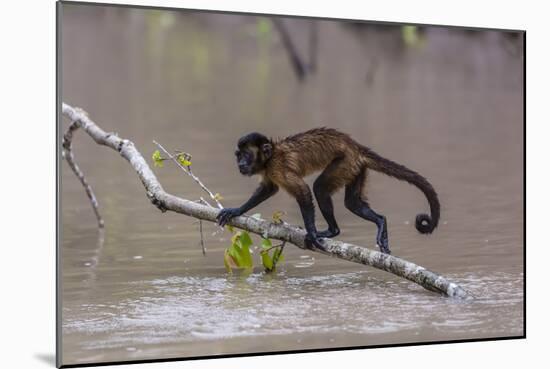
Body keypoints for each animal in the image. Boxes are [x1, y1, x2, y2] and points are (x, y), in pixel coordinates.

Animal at [218, 127, 442, 253]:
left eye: (246, 155)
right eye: (238, 156)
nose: (240, 164)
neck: (270, 156)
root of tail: (356, 147)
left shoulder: (277, 167)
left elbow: (303, 191)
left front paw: (312, 233)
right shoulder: (270, 171)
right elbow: (268, 189)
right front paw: (236, 210)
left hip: (345, 162)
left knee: (319, 188)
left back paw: (332, 230)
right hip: (356, 168)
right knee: (351, 203)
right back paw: (380, 222)